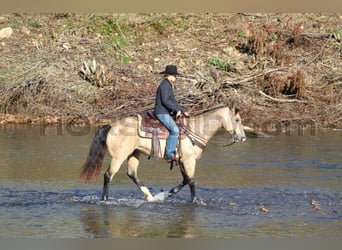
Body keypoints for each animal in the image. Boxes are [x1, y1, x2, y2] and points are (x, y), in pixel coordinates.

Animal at [80, 105, 246, 203]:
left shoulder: (181, 161)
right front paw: (195, 201)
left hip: (134, 154)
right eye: (237, 119)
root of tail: (111, 125)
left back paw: (150, 197)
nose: (243, 138)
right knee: (108, 175)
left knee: (132, 174)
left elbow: (186, 180)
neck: (195, 130)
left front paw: (165, 195)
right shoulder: (189, 160)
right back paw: (105, 200)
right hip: (118, 157)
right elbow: (191, 181)